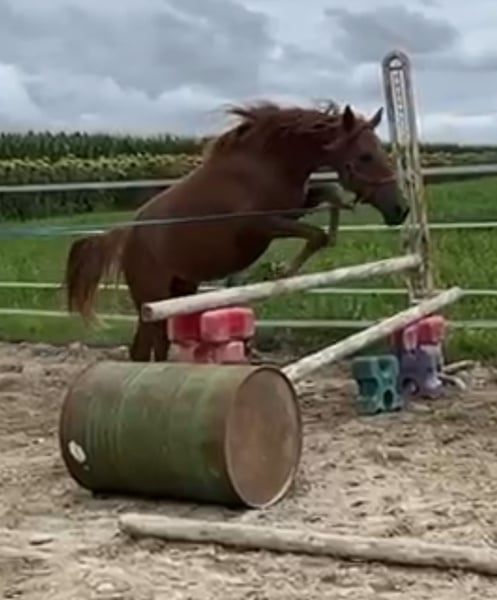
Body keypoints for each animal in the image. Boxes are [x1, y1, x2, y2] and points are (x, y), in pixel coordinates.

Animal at [64, 100, 408, 362]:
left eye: (382, 152)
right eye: (365, 156)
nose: (400, 210)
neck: (267, 163)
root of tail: (127, 234)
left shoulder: (293, 207)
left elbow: (330, 196)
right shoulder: (261, 226)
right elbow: (315, 233)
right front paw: (281, 273)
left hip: (180, 291)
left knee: (156, 346)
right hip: (151, 299)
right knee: (143, 349)